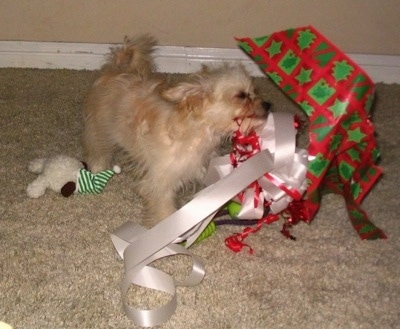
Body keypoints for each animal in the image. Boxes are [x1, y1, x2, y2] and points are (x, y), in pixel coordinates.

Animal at [83, 35, 272, 226]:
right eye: (241, 96)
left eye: (254, 91)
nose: (268, 104)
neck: (198, 132)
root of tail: (117, 68)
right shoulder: (161, 184)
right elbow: (165, 212)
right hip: (100, 128)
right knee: (98, 149)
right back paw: (97, 170)